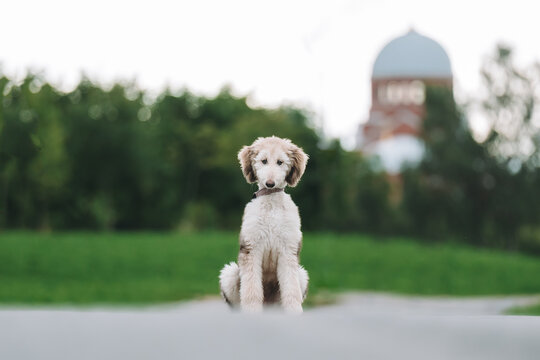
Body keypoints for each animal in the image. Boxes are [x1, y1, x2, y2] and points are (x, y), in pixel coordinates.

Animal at [219, 136, 310, 314]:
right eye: (264, 161)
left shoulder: (288, 251)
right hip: (230, 273)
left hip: (301, 275)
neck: (271, 204)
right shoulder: (251, 249)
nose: (270, 184)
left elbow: (291, 291)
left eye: (280, 162)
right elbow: (251, 290)